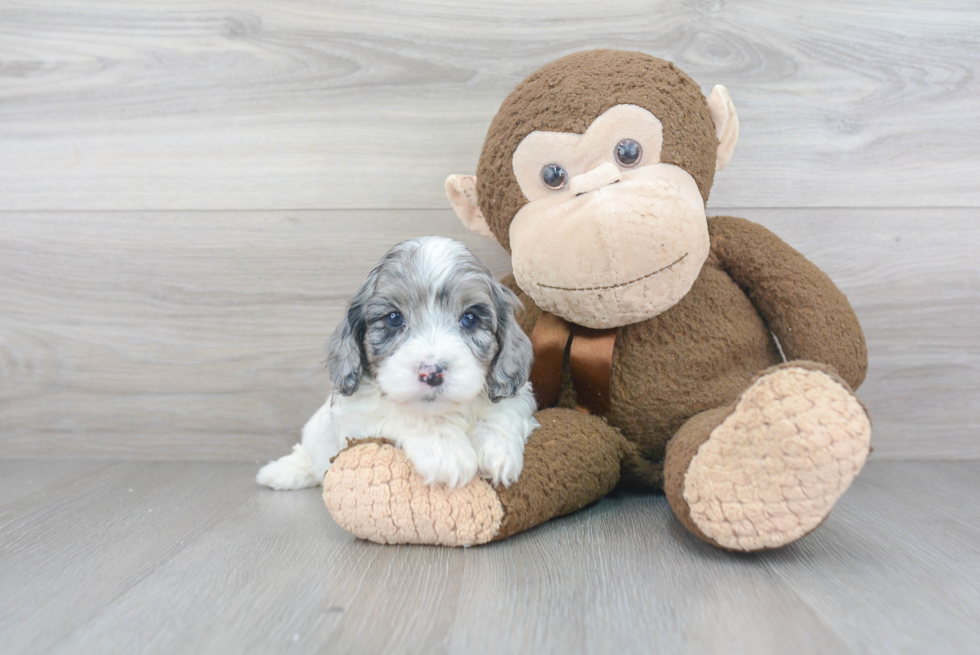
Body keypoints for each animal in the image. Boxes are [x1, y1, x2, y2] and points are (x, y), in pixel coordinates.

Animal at [256, 238, 540, 490]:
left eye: (470, 318)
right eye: (394, 318)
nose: (431, 373)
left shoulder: (518, 395)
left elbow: (501, 411)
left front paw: (496, 451)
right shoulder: (358, 416)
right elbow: (407, 414)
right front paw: (446, 451)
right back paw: (282, 472)